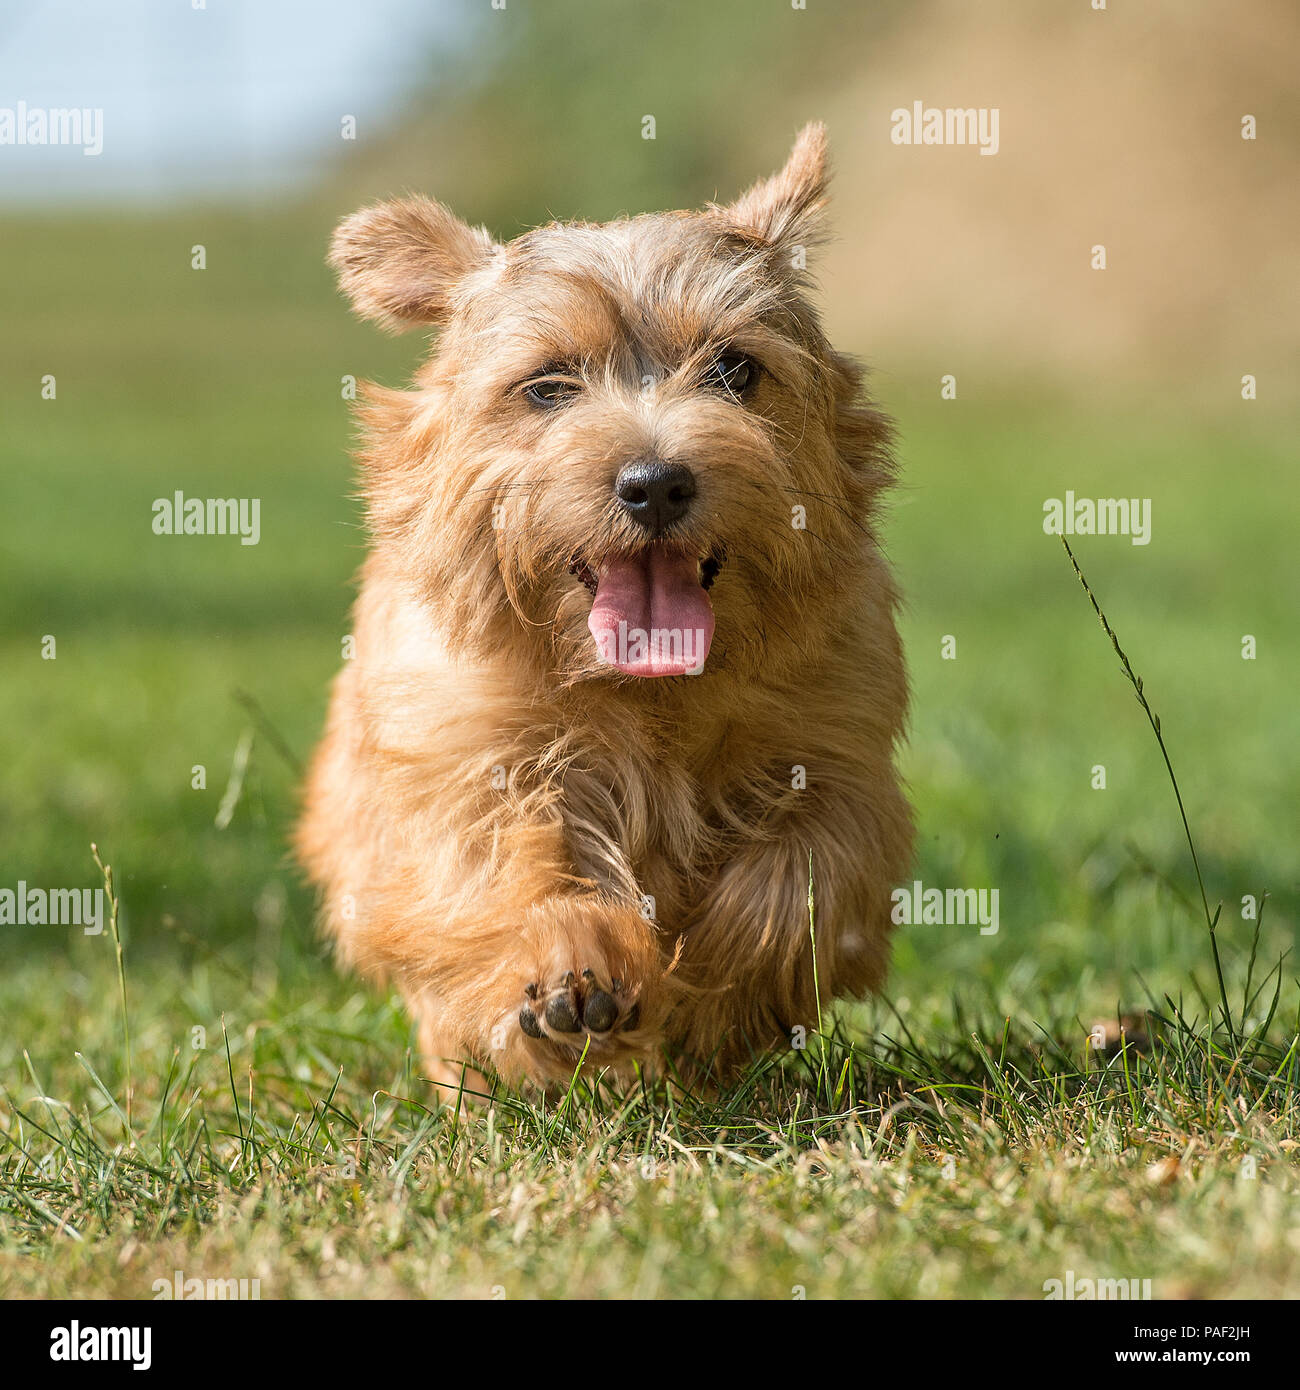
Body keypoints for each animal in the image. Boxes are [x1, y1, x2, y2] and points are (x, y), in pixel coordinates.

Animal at [298, 122, 917, 1095]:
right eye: (549, 386)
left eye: (734, 368)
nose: (654, 482)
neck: (645, 695)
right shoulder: (465, 767)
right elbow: (506, 860)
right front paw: (570, 968)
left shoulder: (835, 760)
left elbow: (802, 875)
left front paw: (717, 992)